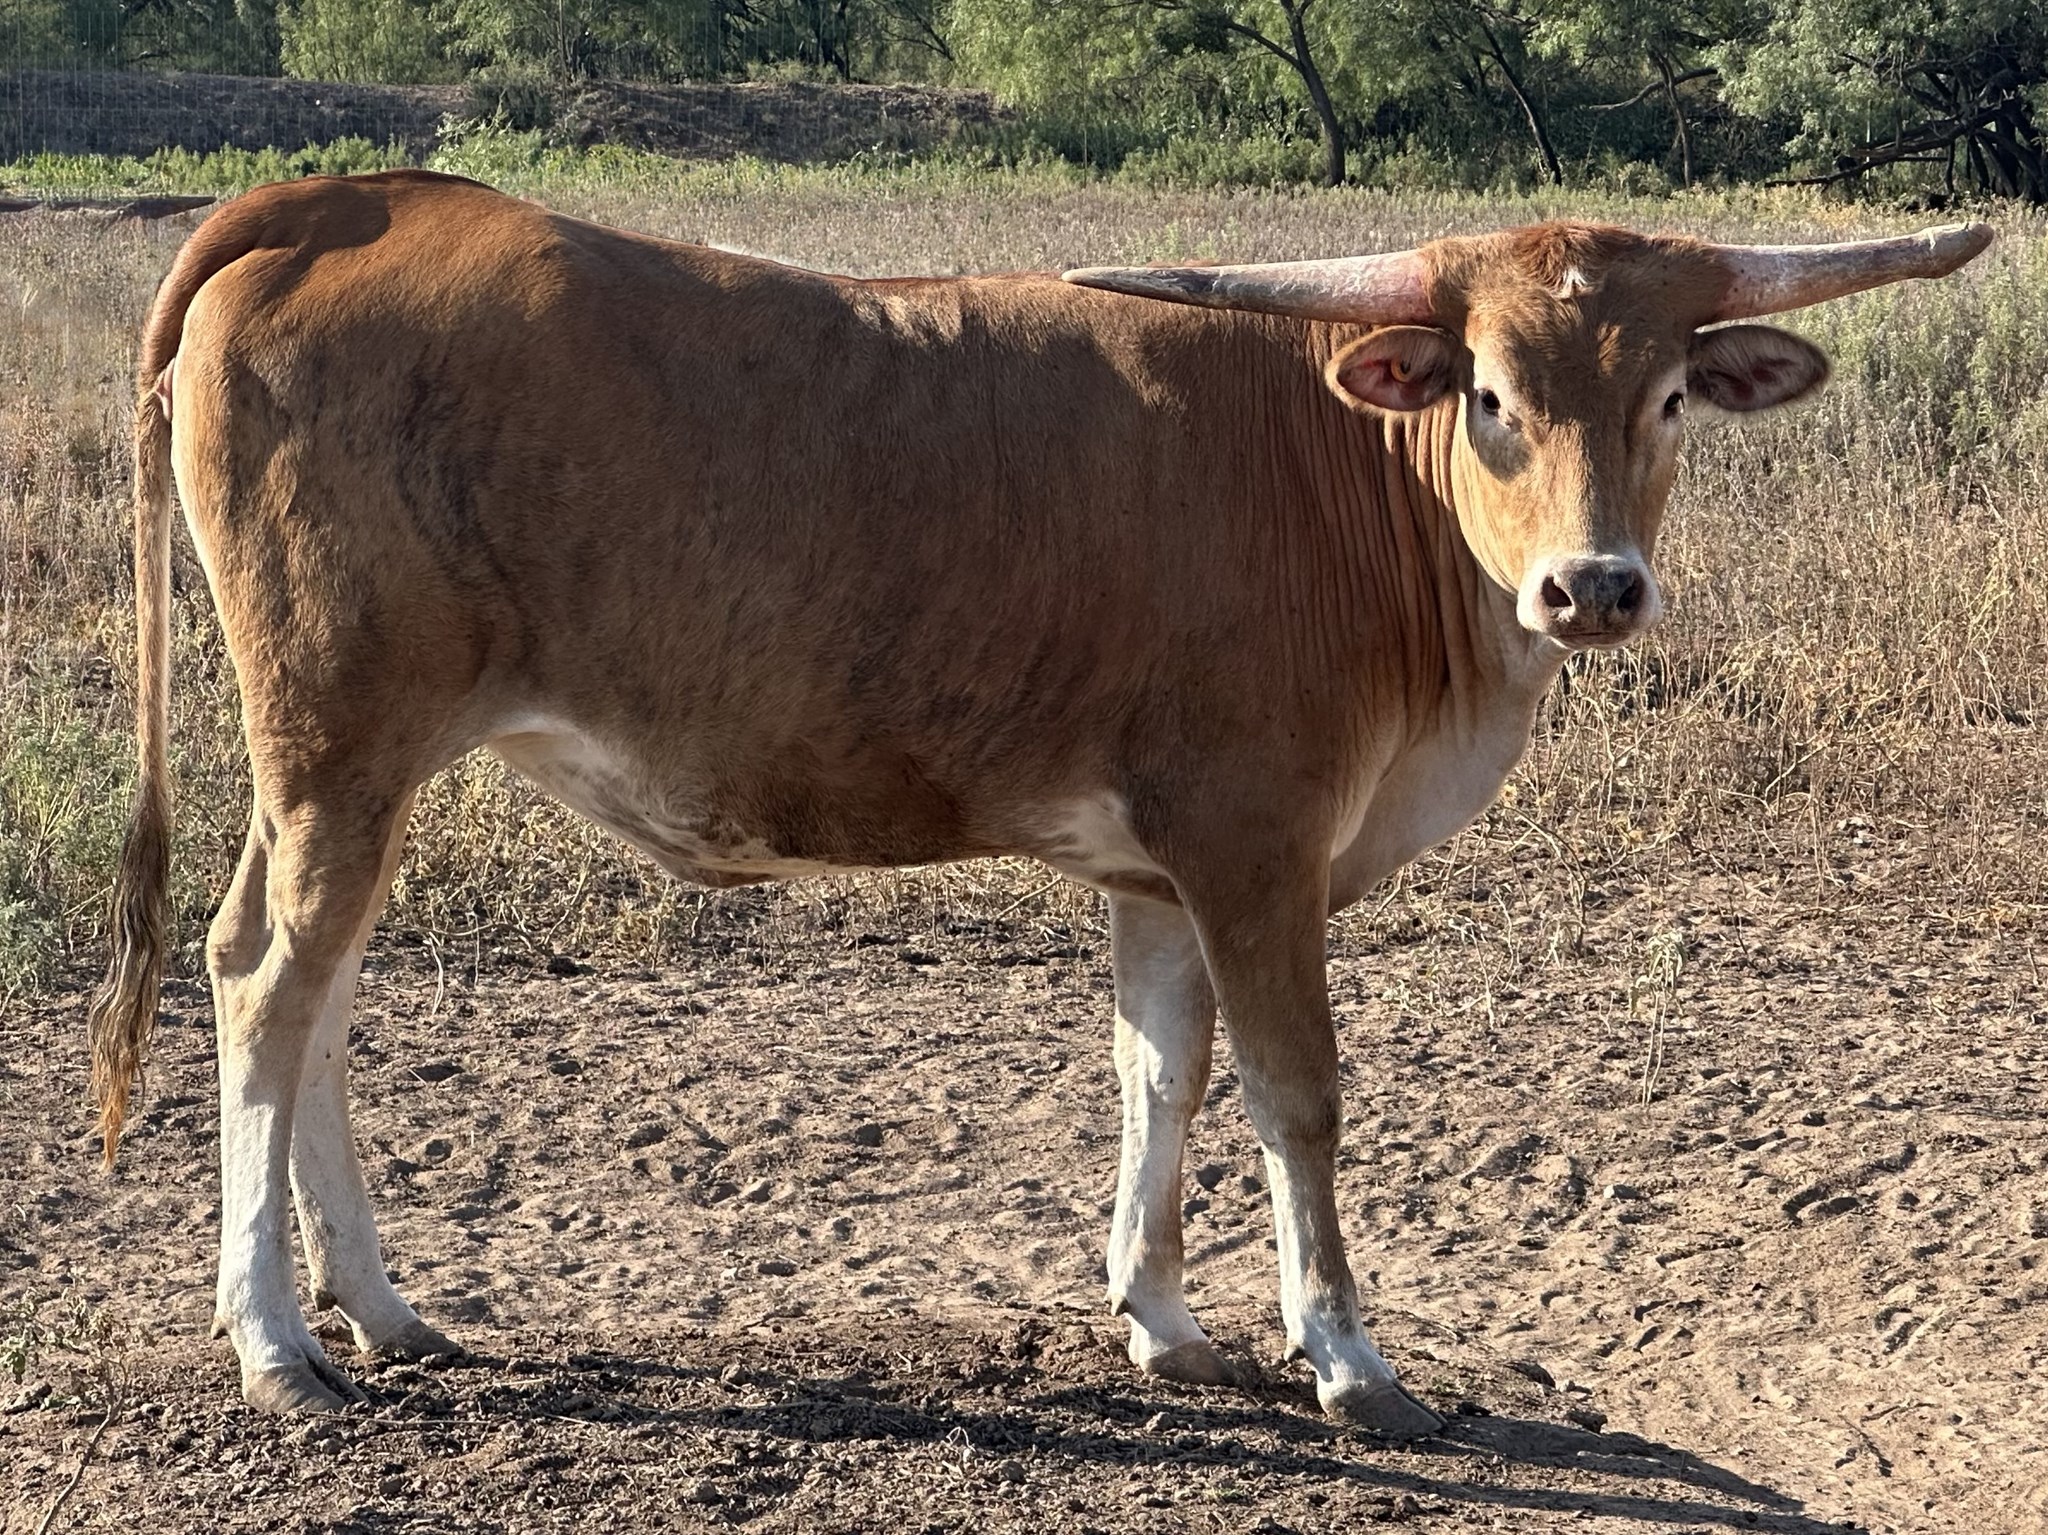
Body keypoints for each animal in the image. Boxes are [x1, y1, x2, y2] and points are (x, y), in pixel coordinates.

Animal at [86, 170, 1989, 1433]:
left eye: (1666, 395)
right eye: (1493, 396)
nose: (1592, 588)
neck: (1338, 480)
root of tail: (358, 201)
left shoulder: (1160, 872)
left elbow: (1165, 1070)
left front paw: (1160, 1317)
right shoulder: (1255, 840)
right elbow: (1295, 1090)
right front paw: (1346, 1353)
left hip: (361, 769)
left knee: (319, 994)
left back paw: (381, 1308)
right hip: (338, 739)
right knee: (264, 979)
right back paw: (273, 1338)